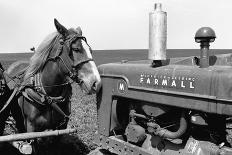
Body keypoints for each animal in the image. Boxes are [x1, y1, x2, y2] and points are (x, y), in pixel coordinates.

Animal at [5, 18, 100, 150]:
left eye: (90, 50)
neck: (49, 95)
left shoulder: (61, 128)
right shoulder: (31, 129)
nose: (96, 82)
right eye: (76, 49)